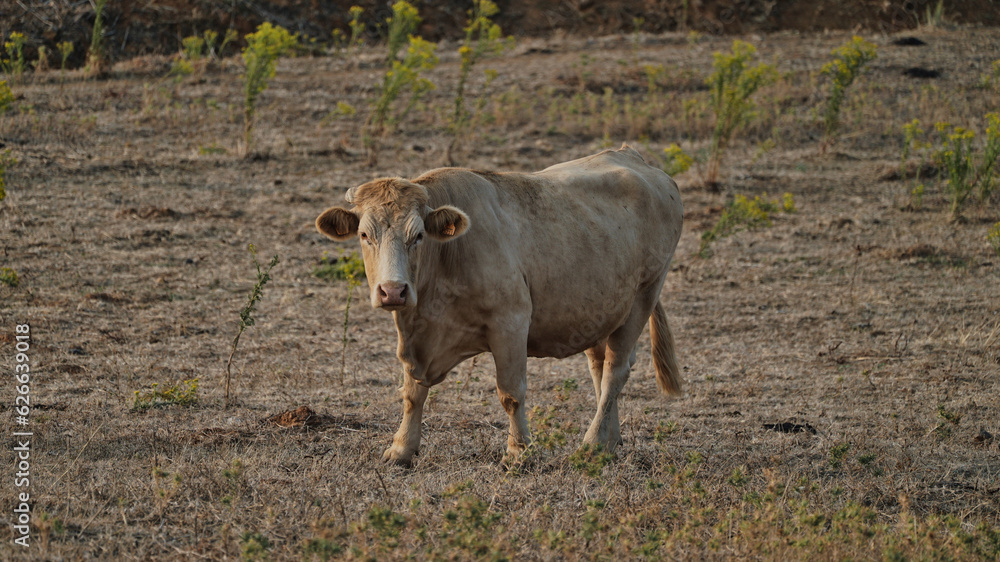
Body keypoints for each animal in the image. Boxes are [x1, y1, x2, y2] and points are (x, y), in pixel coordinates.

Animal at [315, 144, 683, 467]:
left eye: (418, 236)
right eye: (365, 235)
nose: (393, 291)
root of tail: (631, 155)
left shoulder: (511, 323)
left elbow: (511, 392)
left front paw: (519, 452)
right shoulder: (415, 336)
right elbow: (412, 392)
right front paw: (401, 448)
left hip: (645, 294)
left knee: (615, 370)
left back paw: (592, 445)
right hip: (599, 308)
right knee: (600, 366)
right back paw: (609, 439)